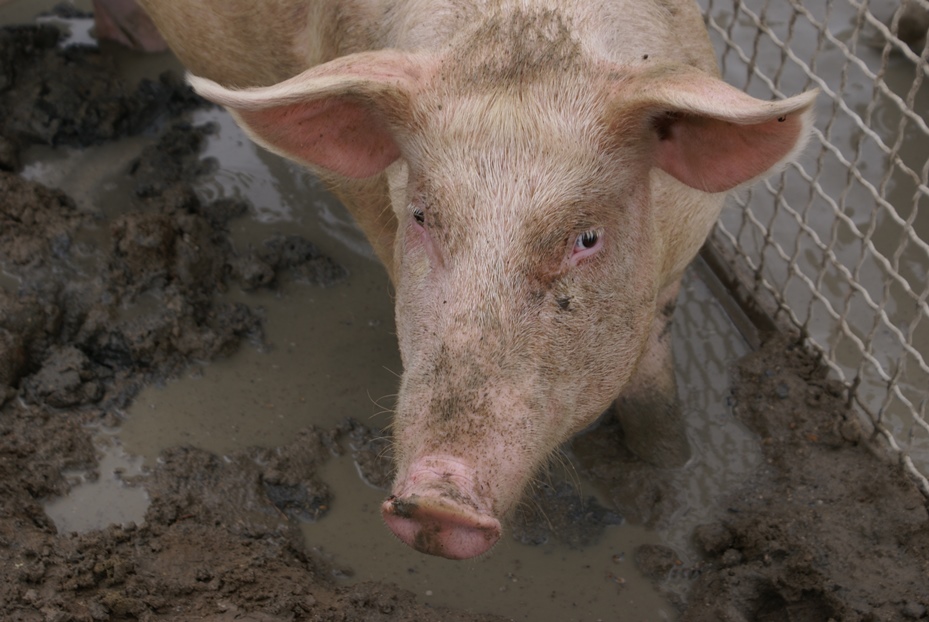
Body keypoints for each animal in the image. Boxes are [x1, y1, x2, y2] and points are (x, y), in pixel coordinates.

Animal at [134, 0, 816, 560]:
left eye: (586, 238)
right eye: (422, 216)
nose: (437, 495)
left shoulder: (677, 265)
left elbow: (657, 404)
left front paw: (667, 477)